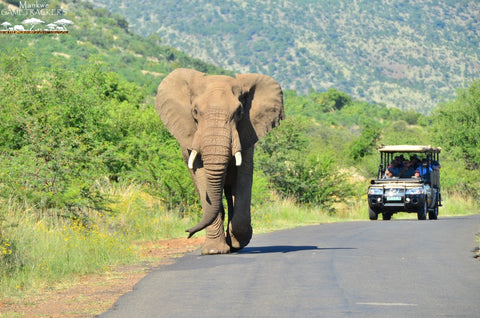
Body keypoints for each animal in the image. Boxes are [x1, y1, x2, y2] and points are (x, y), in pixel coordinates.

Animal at [157, 68, 284, 255]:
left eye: (239, 112)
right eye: (195, 111)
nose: (188, 232)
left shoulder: (246, 133)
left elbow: (243, 178)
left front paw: (238, 242)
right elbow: (202, 176)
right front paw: (213, 251)